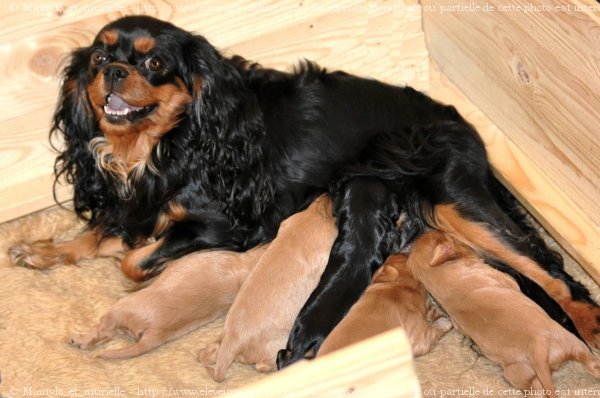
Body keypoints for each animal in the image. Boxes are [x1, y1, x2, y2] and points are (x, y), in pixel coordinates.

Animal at [199, 194, 336, 380]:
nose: (327, 194)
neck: (318, 213)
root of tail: (233, 341)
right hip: (278, 344)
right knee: (263, 365)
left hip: (221, 339)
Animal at [408, 230, 600, 398]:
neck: (442, 276)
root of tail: (538, 349)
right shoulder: (505, 279)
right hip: (526, 368)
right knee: (538, 389)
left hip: (571, 346)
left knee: (590, 365)